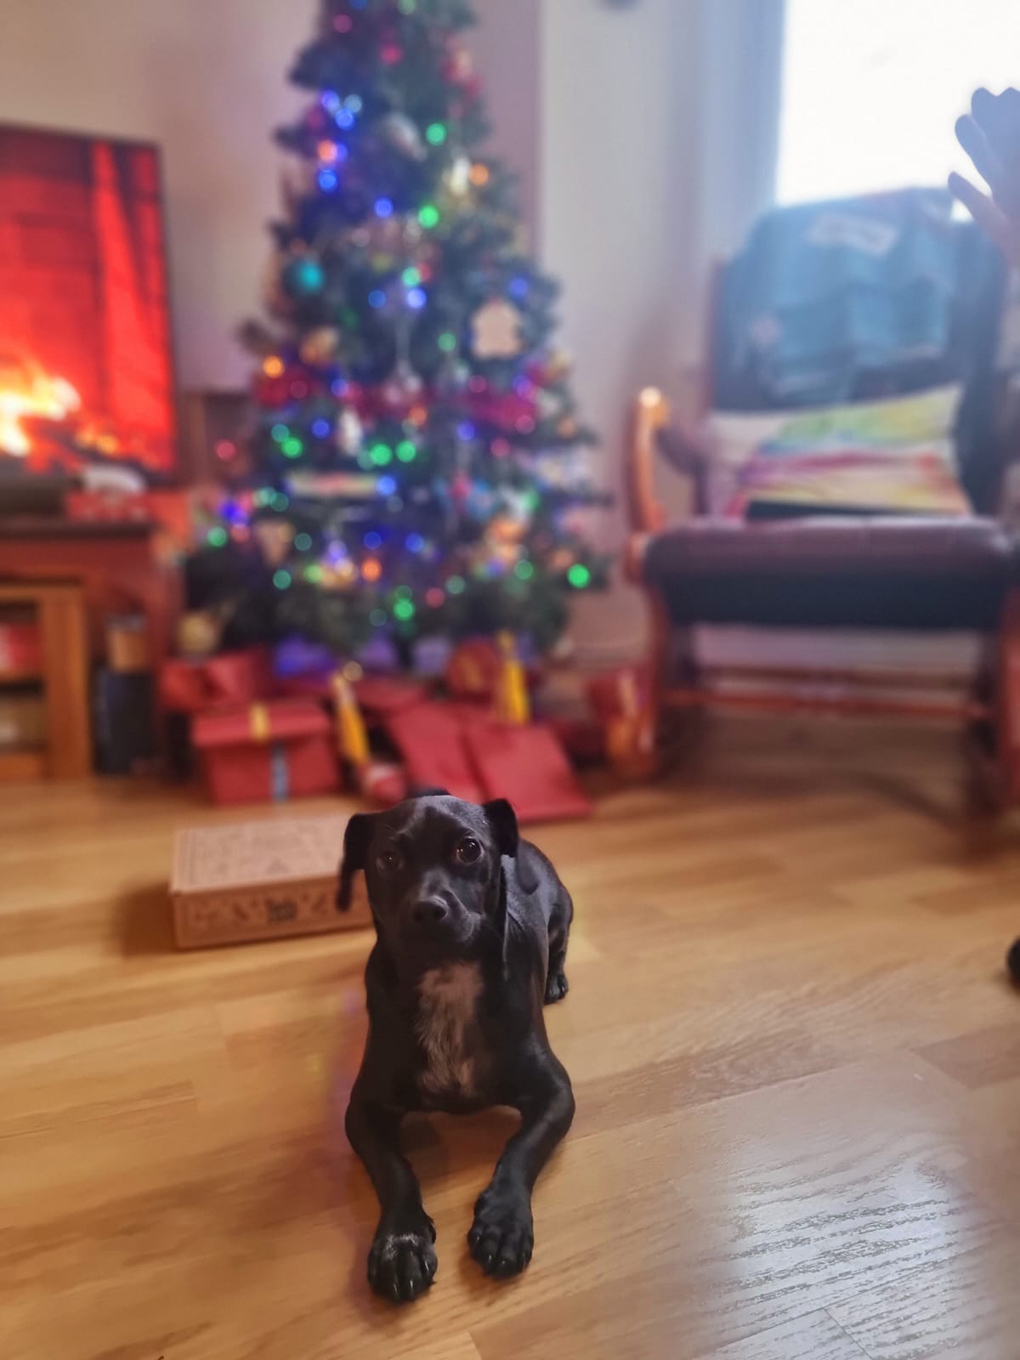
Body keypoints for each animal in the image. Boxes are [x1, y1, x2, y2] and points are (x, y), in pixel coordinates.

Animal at [337, 794, 571, 1300]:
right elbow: (395, 1170)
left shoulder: (557, 1093)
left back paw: (556, 981)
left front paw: (504, 1221)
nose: (428, 909)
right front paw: (401, 1242)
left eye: (469, 849)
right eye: (388, 858)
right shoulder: (361, 1110)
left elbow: (521, 1148)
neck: (446, 980)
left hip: (563, 911)